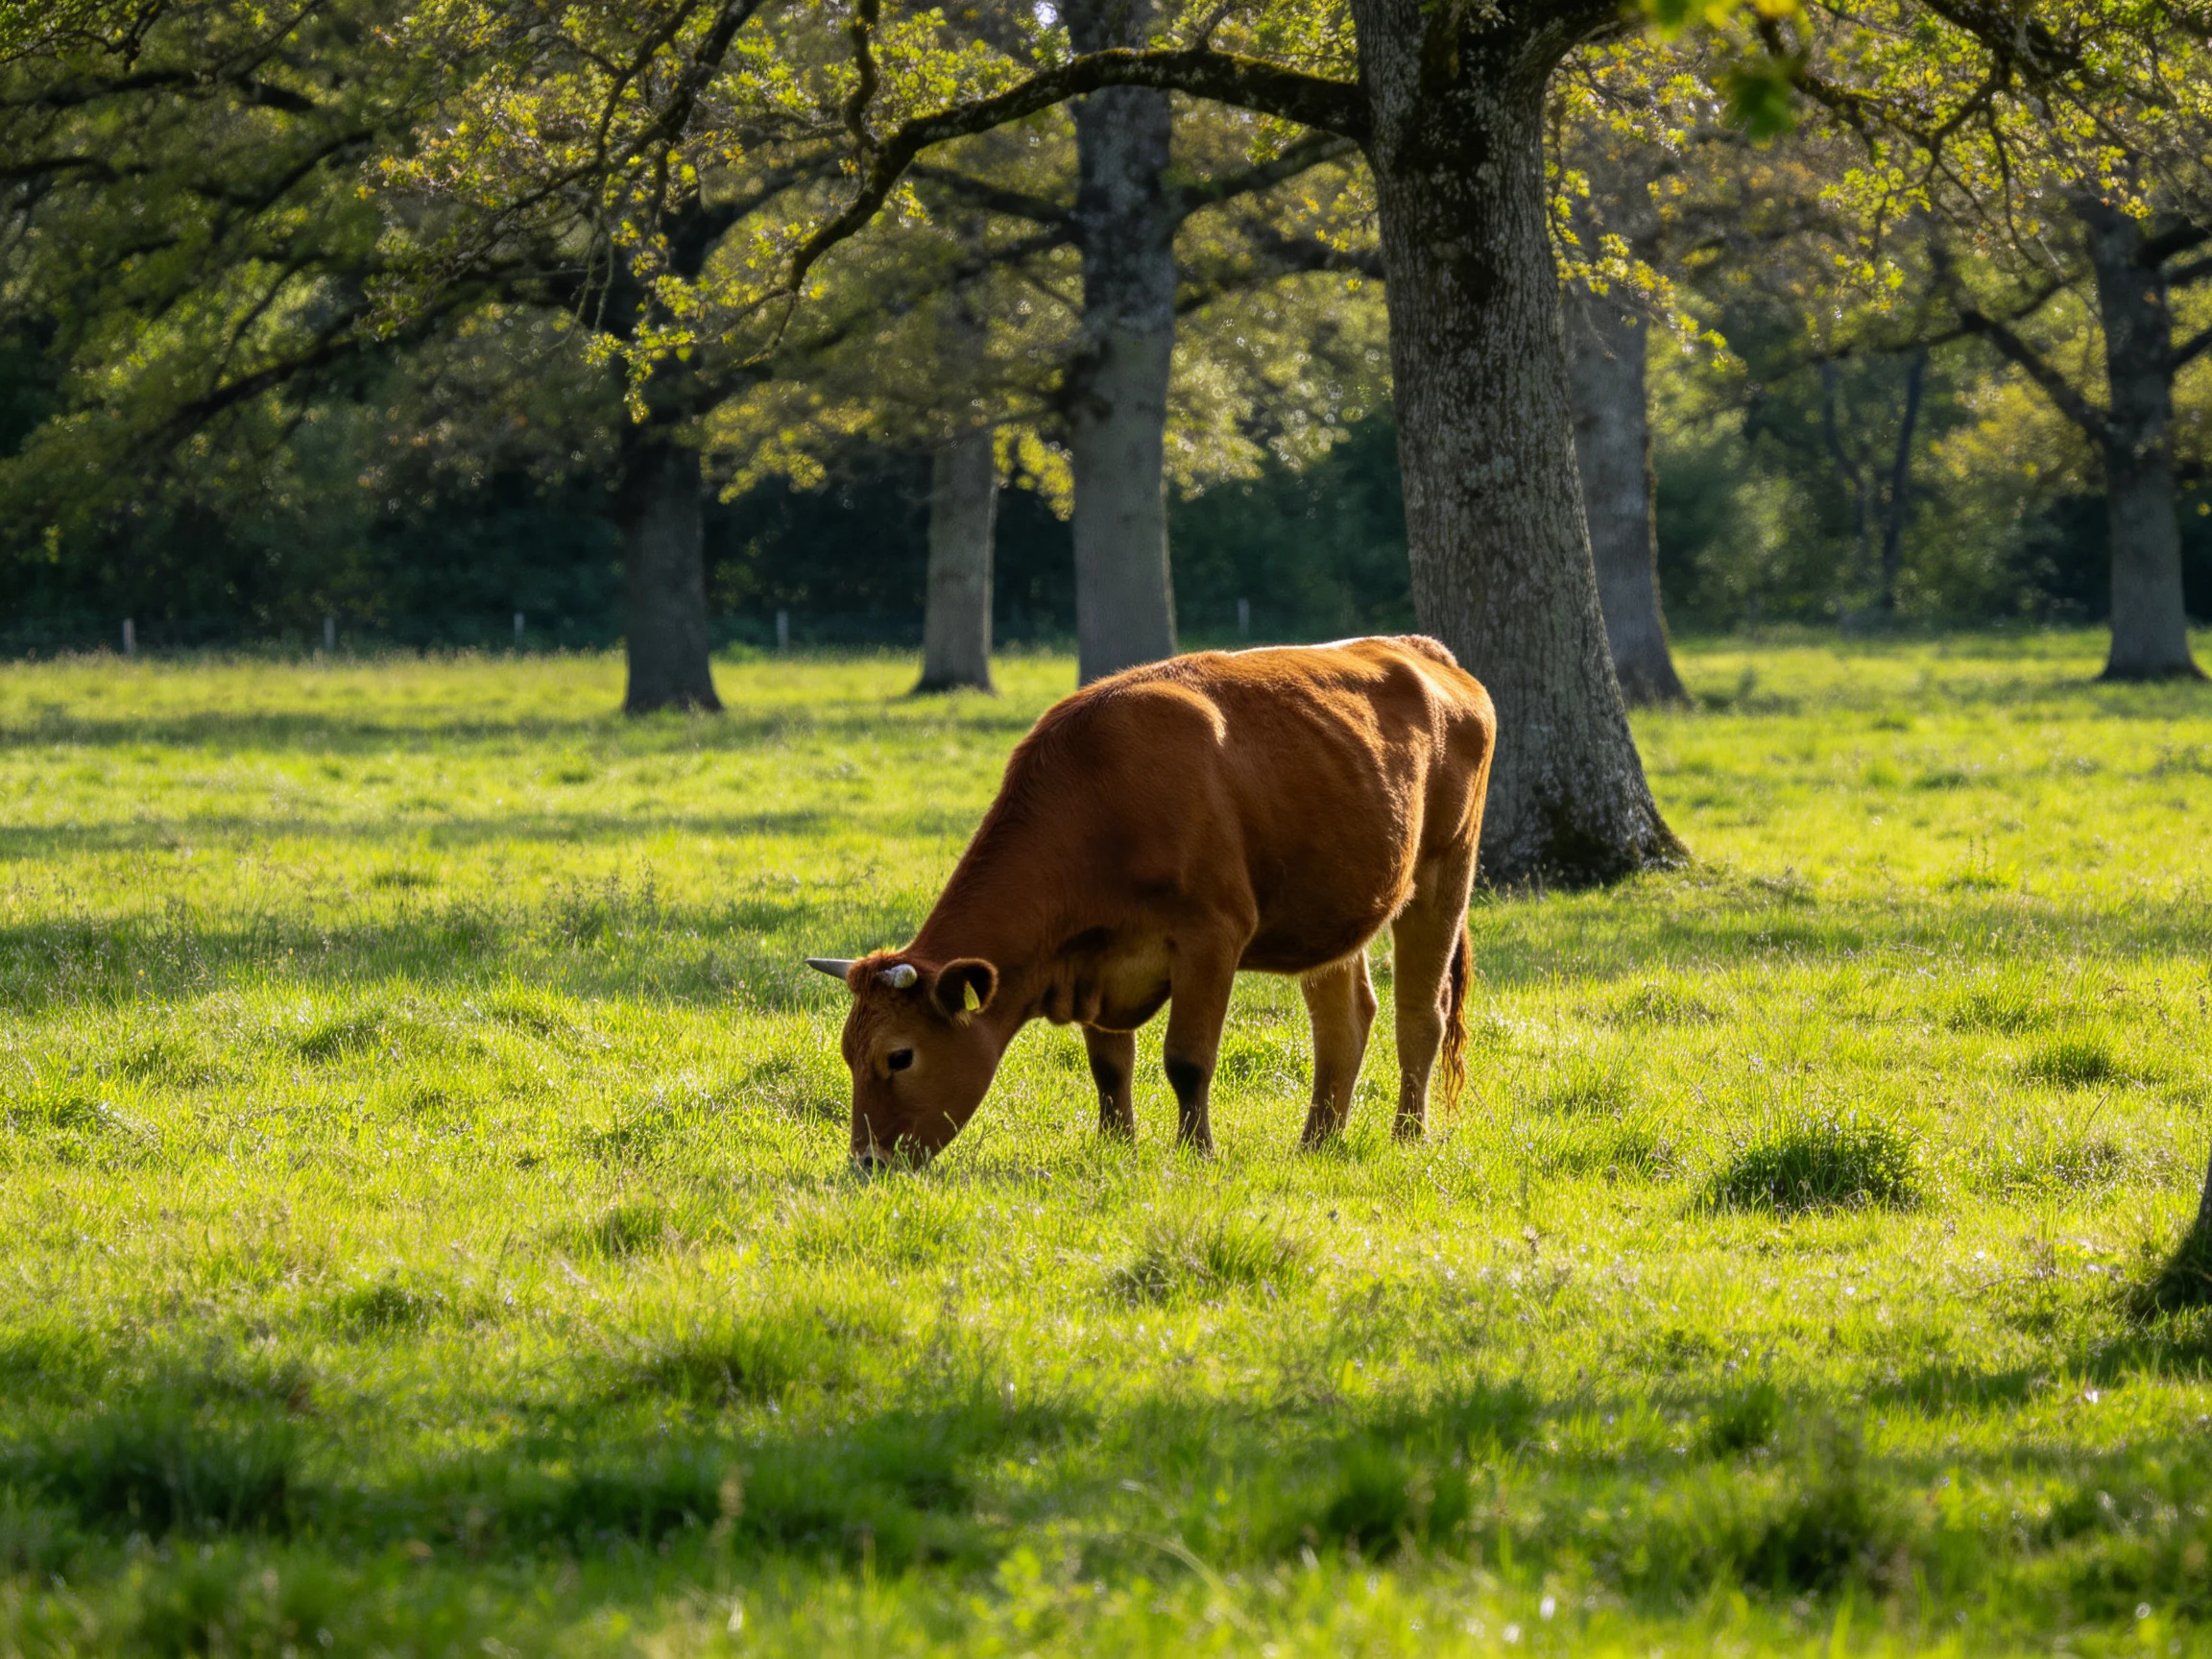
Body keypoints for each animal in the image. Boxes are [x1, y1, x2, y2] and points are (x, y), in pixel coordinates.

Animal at [805, 635, 1496, 1171]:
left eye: (899, 1056)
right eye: (847, 1053)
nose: (867, 1163)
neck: (1099, 799)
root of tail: (1417, 648)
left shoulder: (1212, 936)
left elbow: (1187, 1060)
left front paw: (1196, 1153)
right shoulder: (1092, 960)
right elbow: (1109, 1066)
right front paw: (1118, 1147)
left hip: (1444, 875)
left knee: (1421, 1015)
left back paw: (1407, 1135)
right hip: (1330, 910)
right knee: (1344, 1023)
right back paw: (1315, 1145)